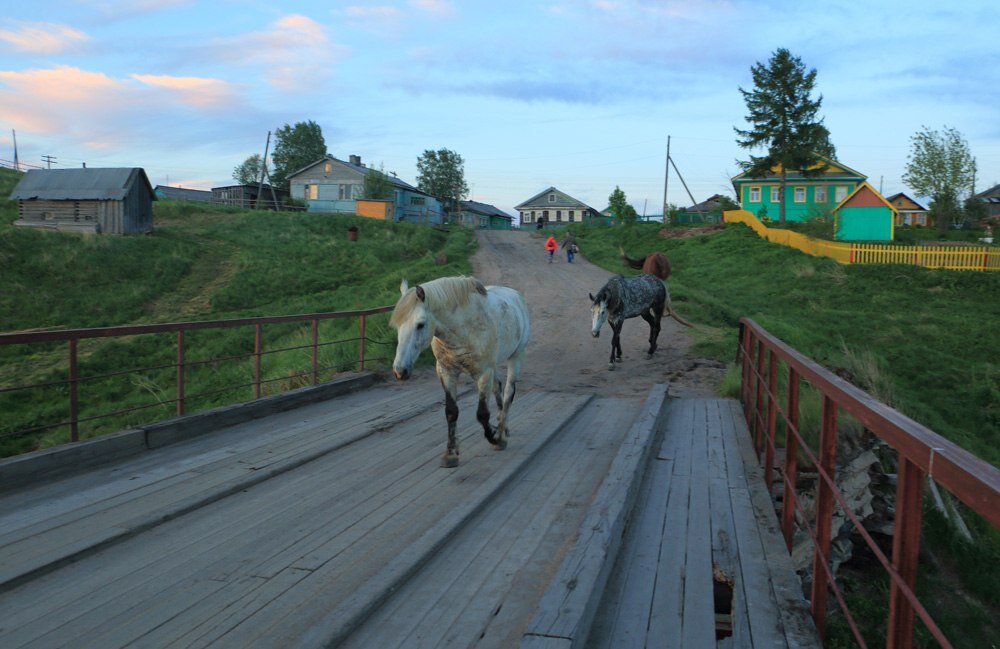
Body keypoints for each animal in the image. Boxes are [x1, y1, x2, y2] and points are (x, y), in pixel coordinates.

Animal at [388, 274, 532, 466]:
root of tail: (515, 295)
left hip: (516, 356)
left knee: (508, 392)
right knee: (498, 388)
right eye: (397, 326)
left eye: (420, 325)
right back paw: (504, 427)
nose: (400, 371)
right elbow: (451, 413)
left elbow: (482, 414)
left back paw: (501, 432)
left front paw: (495, 438)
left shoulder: (484, 373)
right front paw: (450, 454)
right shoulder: (447, 372)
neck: (463, 329)